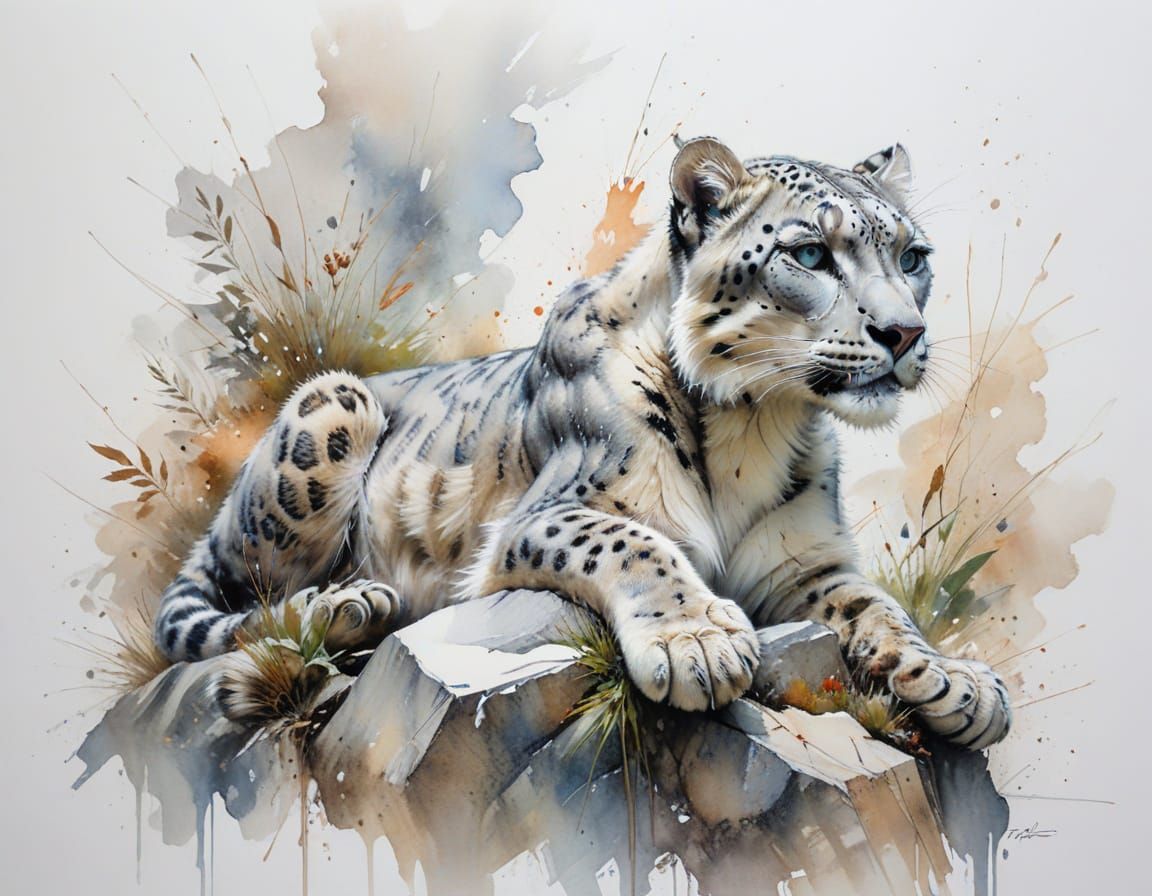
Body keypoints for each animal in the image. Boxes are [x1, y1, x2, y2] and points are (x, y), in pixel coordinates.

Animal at [154, 137, 1011, 750]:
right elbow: (632, 542)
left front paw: (954, 681)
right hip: (332, 409)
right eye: (809, 254)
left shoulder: (804, 566)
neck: (757, 425)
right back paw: (350, 603)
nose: (906, 332)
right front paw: (698, 644)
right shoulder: (544, 515)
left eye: (913, 257)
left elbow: (878, 609)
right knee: (245, 601)